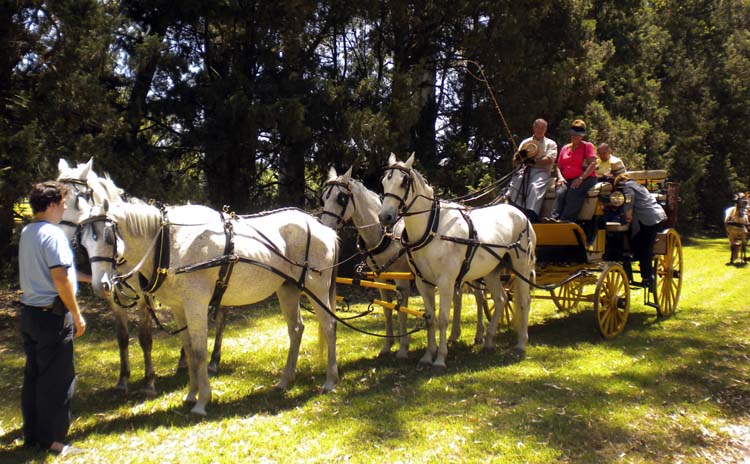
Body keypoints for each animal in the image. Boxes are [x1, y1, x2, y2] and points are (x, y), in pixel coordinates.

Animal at [77, 199, 340, 415]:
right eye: (83, 244)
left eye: (109, 238)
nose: (101, 286)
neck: (169, 243)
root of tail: (322, 228)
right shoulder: (179, 308)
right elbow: (189, 350)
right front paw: (191, 394)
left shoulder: (196, 305)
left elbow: (200, 352)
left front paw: (202, 401)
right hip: (288, 290)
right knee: (296, 330)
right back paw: (285, 380)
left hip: (316, 288)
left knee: (329, 326)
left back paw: (330, 380)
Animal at [320, 167, 492, 358]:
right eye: (324, 197)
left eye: (341, 198)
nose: (324, 226)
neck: (384, 235)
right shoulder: (379, 278)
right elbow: (387, 311)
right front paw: (387, 345)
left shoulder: (402, 280)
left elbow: (401, 311)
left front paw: (403, 348)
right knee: (457, 296)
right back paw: (454, 335)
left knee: (479, 298)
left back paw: (479, 335)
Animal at [377, 153, 536, 370]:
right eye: (384, 181)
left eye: (404, 182)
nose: (384, 216)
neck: (432, 229)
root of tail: (521, 214)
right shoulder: (423, 282)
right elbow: (430, 319)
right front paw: (428, 356)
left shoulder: (446, 282)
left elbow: (443, 319)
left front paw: (440, 359)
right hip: (491, 271)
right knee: (501, 299)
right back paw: (488, 341)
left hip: (521, 267)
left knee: (524, 301)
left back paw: (520, 344)